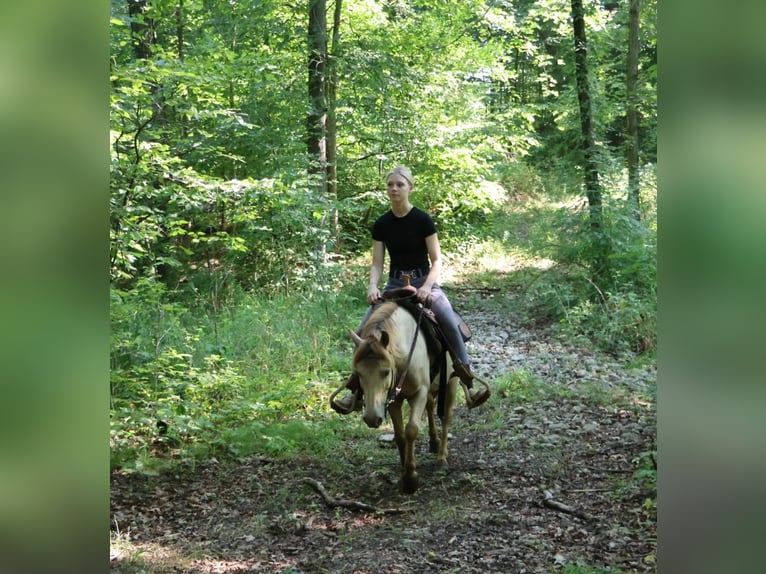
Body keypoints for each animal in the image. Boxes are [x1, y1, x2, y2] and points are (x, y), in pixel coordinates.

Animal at [350, 301, 458, 494]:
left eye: (386, 372)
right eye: (359, 373)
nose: (371, 418)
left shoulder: (420, 392)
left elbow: (411, 430)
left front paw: (410, 478)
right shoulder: (393, 399)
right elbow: (399, 435)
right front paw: (403, 472)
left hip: (451, 384)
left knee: (446, 418)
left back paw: (441, 458)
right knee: (431, 406)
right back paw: (434, 442)